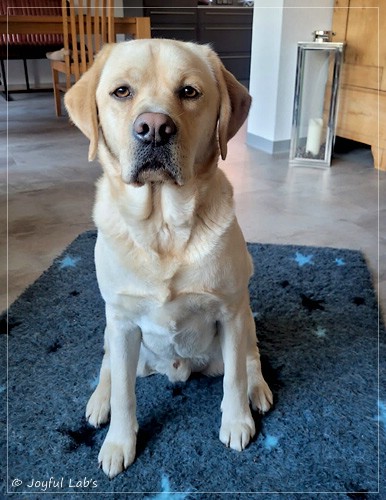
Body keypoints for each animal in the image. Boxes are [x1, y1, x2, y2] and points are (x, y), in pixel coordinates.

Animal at [65, 38, 272, 476]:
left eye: (189, 92)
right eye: (121, 91)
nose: (154, 128)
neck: (163, 228)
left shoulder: (230, 312)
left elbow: (233, 381)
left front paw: (237, 422)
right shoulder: (122, 321)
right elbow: (125, 393)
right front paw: (119, 443)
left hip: (245, 316)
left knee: (250, 356)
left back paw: (258, 388)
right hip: (116, 331)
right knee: (109, 365)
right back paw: (99, 400)